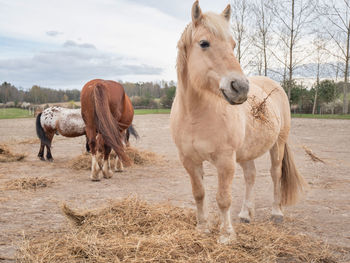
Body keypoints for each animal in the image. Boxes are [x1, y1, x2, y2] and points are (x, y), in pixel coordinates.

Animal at [170, 1, 306, 245]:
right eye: (204, 43)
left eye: (233, 45)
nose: (240, 87)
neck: (196, 115)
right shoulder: (189, 160)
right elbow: (199, 193)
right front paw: (202, 228)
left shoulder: (225, 160)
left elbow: (223, 198)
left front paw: (226, 235)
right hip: (246, 152)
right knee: (251, 175)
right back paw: (245, 214)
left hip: (278, 144)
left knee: (275, 174)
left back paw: (276, 213)